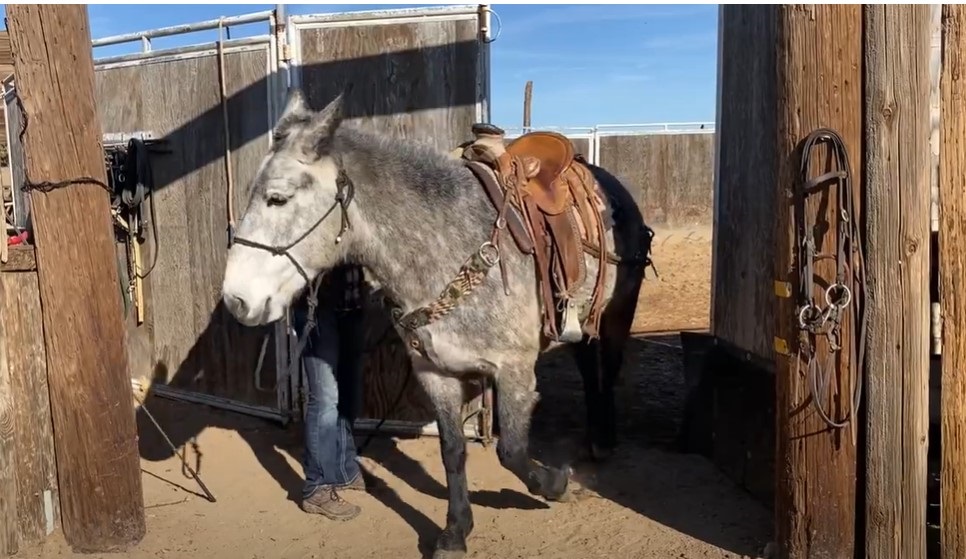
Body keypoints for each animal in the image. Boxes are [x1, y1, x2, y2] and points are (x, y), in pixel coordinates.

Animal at [223, 92, 656, 559]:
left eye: (277, 199)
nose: (236, 300)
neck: (446, 245)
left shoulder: (514, 370)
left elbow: (512, 450)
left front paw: (557, 484)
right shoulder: (435, 372)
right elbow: (453, 451)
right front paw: (455, 530)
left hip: (619, 311)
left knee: (608, 370)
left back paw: (603, 440)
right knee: (589, 369)